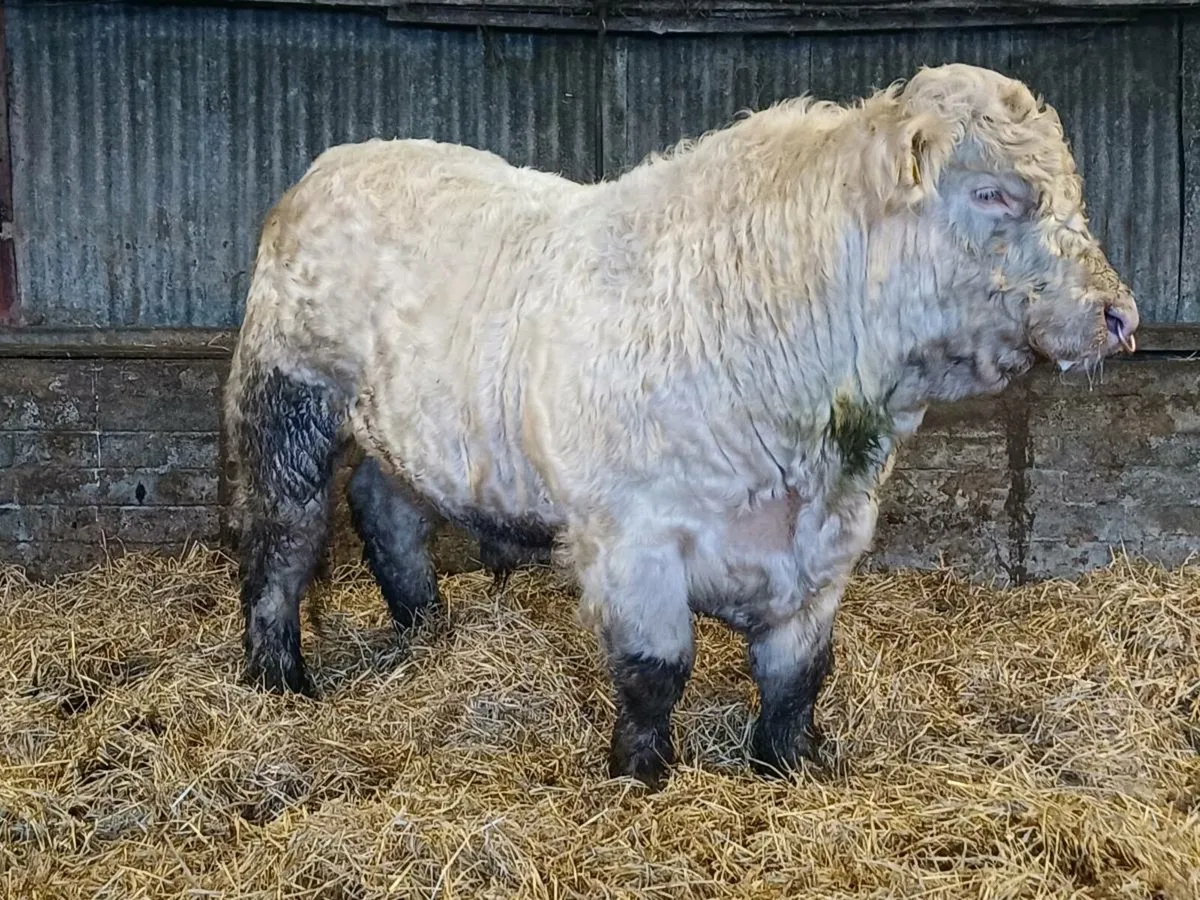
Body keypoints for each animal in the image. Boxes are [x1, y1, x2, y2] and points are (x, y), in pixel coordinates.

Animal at [223, 63, 1139, 789]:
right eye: (992, 193)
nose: (1119, 315)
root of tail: (337, 162)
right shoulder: (633, 539)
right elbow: (656, 669)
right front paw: (641, 772)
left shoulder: (828, 549)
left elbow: (800, 674)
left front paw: (790, 764)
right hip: (287, 405)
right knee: (285, 540)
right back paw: (280, 677)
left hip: (412, 432)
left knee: (388, 509)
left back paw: (427, 632)